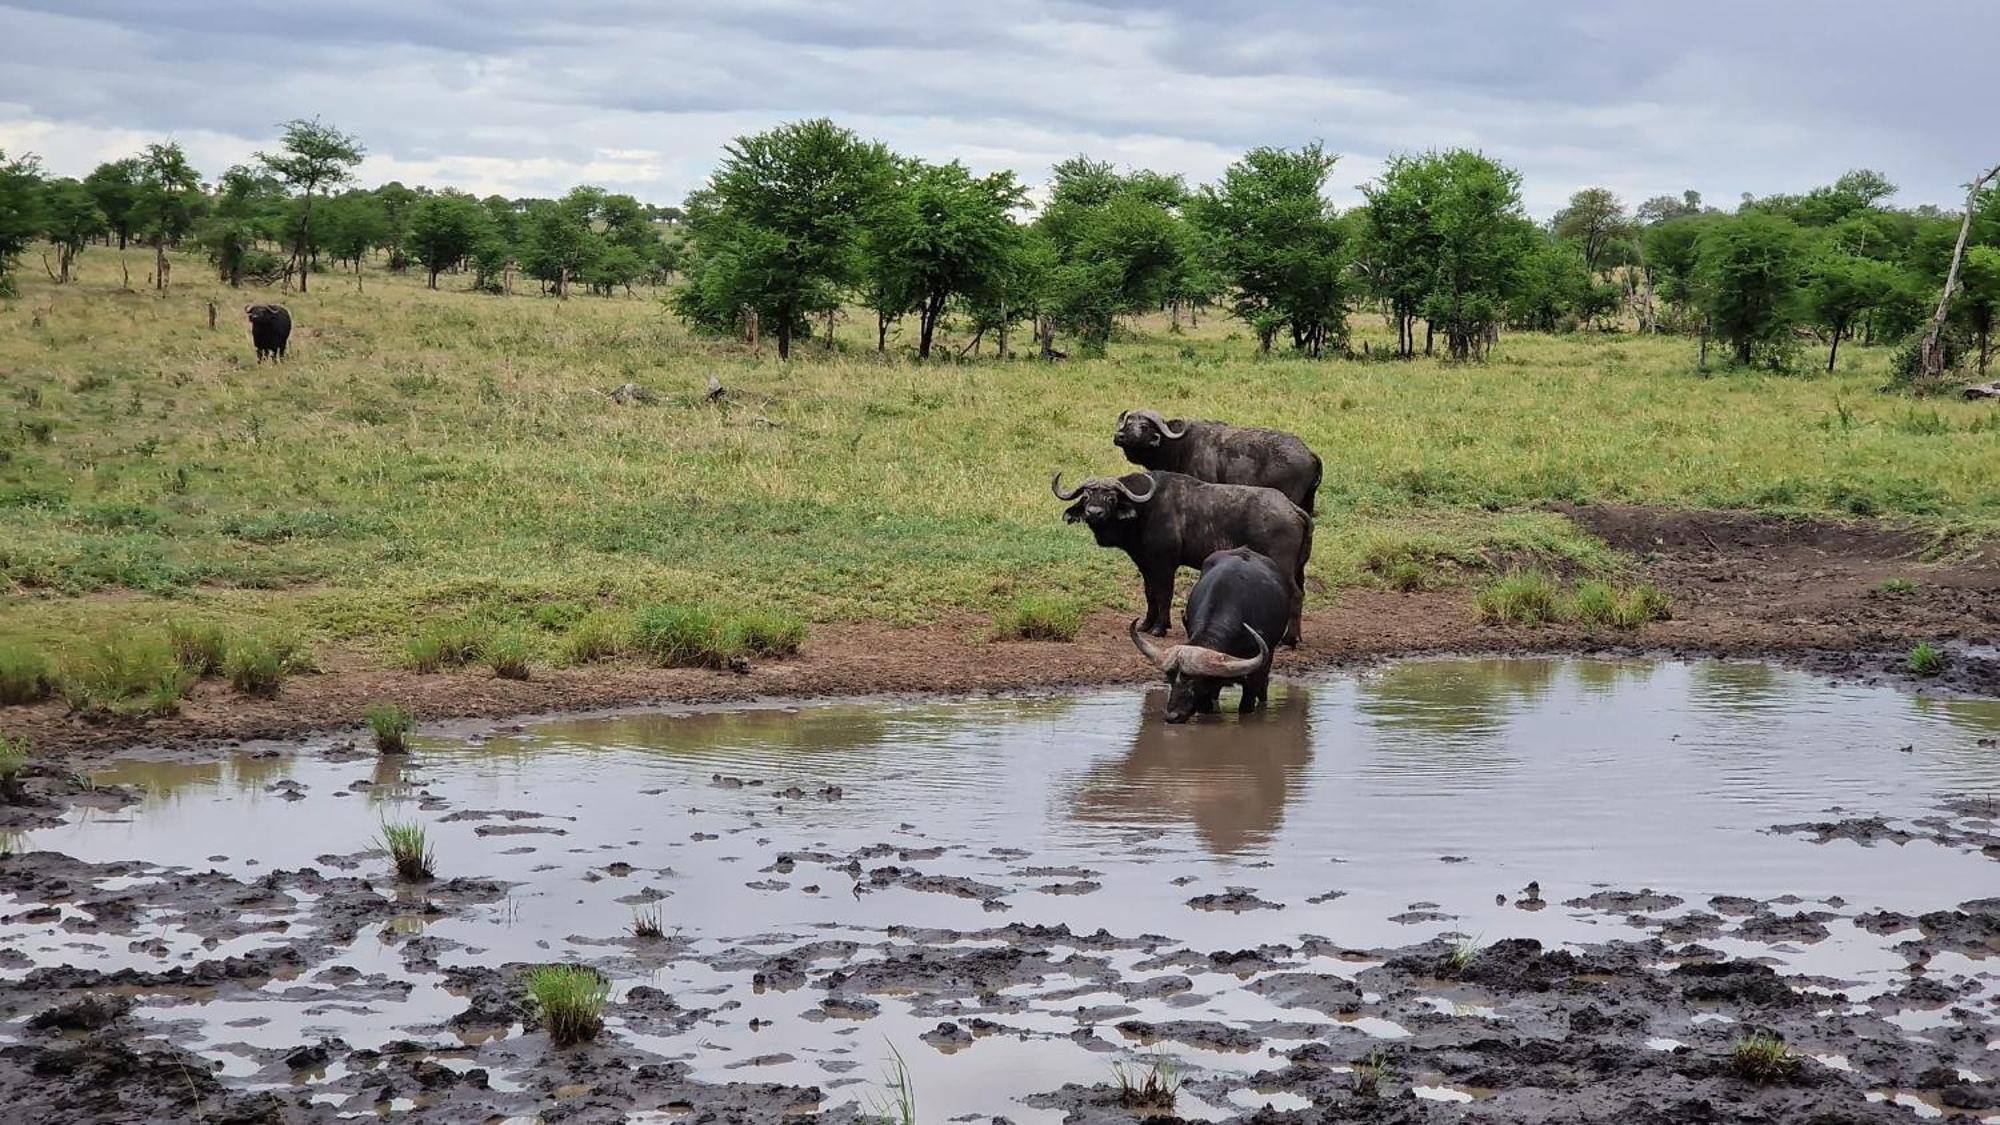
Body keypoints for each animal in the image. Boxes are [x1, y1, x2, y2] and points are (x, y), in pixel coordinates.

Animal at [1048, 464, 1312, 640]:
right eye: (1086, 496)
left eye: (1111, 498)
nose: (1094, 513)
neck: (1144, 510)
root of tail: (1292, 508)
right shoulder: (1146, 564)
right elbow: (1150, 593)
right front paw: (1146, 624)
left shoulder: (1165, 564)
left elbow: (1164, 593)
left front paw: (1159, 628)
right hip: (1299, 569)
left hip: (1282, 565)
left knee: (1296, 594)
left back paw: (1290, 639)